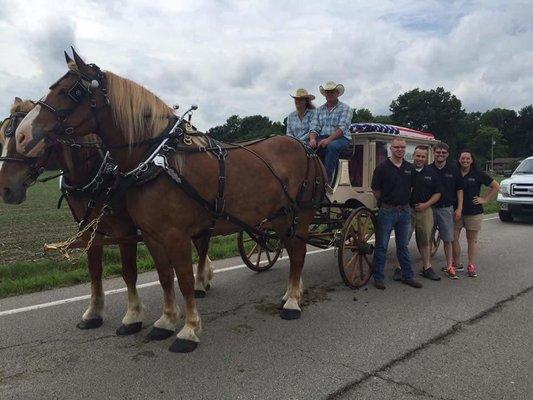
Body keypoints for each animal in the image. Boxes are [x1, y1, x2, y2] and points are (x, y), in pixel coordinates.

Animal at [2, 97, 214, 340]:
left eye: (24, 141)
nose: (6, 190)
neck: (97, 174)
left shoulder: (126, 231)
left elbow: (129, 272)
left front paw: (133, 316)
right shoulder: (88, 231)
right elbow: (94, 272)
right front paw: (94, 313)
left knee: (202, 246)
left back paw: (201, 282)